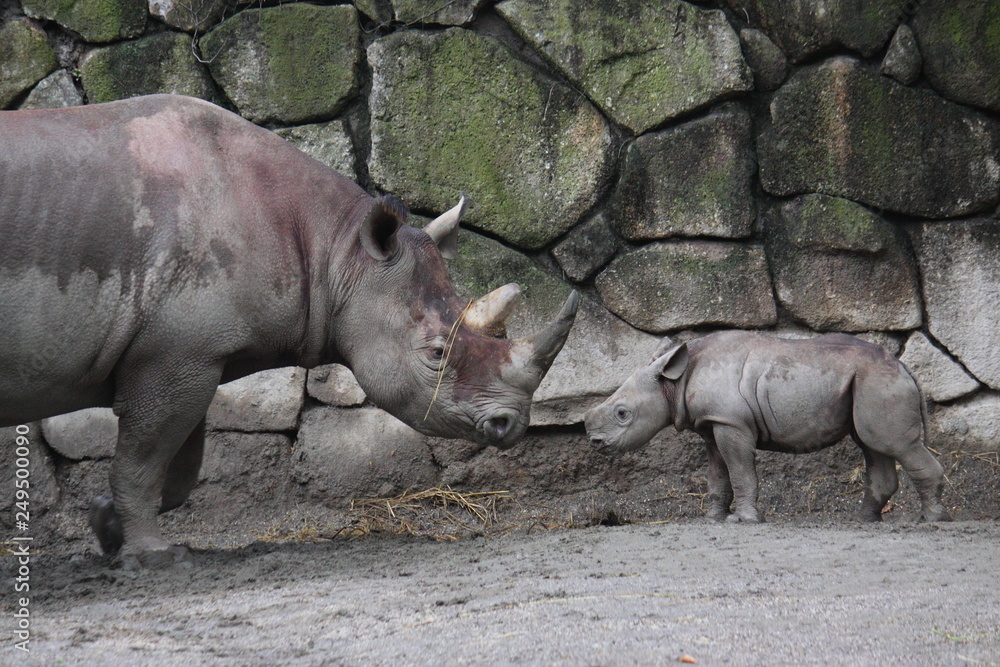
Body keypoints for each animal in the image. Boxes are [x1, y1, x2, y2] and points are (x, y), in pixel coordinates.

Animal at [0, 94, 579, 566]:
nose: (513, 424)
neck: (340, 253)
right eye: (437, 353)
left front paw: (106, 524)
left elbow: (178, 463)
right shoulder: (171, 356)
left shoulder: (187, 353)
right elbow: (146, 458)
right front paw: (155, 558)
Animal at [584, 331, 951, 523]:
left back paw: (932, 519)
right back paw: (863, 521)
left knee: (896, 445)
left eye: (622, 413)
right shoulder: (714, 423)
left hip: (879, 383)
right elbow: (718, 474)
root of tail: (904, 367)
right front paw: (713, 519)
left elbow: (740, 470)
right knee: (873, 445)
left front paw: (745, 520)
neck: (674, 382)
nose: (594, 441)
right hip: (870, 383)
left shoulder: (731, 423)